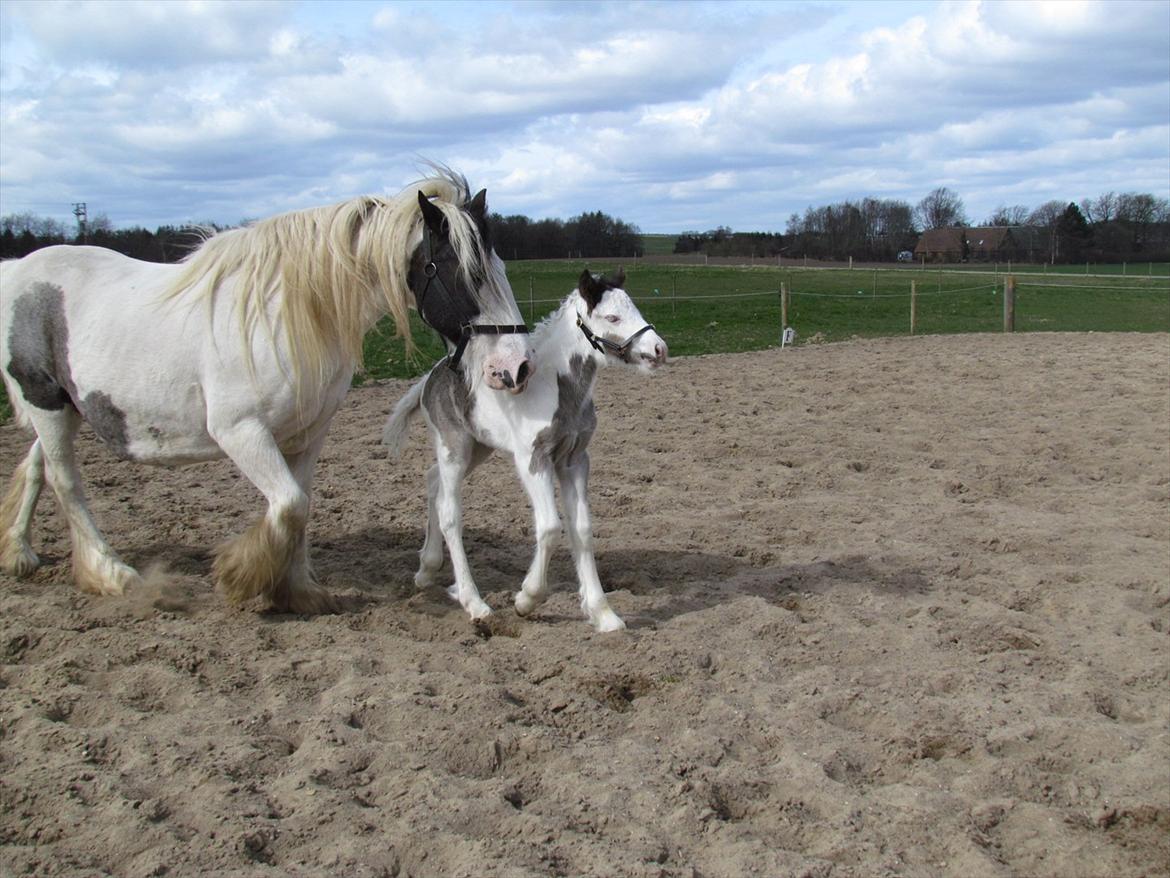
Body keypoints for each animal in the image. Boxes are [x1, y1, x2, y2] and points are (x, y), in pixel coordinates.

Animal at [2, 169, 533, 613]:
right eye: (467, 273)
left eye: (503, 269)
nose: (517, 366)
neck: (289, 315)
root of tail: (18, 271)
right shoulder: (241, 432)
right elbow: (289, 506)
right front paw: (242, 577)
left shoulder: (308, 434)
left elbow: (300, 507)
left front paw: (297, 590)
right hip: (45, 404)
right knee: (66, 483)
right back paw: (110, 572)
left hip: (67, 408)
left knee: (36, 468)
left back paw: (19, 551)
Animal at [379, 268, 664, 632]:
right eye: (612, 317)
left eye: (635, 308)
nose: (659, 349)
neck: (555, 388)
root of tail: (433, 374)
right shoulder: (533, 459)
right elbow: (550, 527)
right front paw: (527, 599)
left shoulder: (574, 460)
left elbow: (582, 529)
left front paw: (603, 614)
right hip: (453, 448)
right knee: (449, 513)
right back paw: (475, 603)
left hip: (478, 447)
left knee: (432, 481)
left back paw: (427, 570)